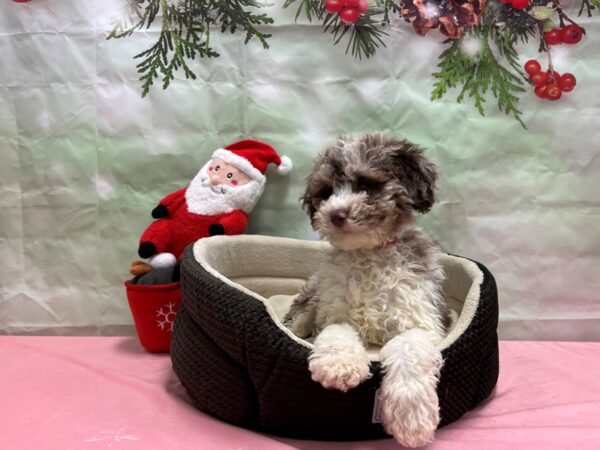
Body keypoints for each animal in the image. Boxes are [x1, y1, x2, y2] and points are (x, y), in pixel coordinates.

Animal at [284, 132, 448, 448]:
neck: (369, 252)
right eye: (326, 192)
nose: (336, 214)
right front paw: (340, 365)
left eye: (366, 184)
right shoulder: (333, 310)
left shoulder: (419, 319)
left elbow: (410, 347)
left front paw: (412, 418)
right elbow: (337, 331)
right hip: (308, 301)